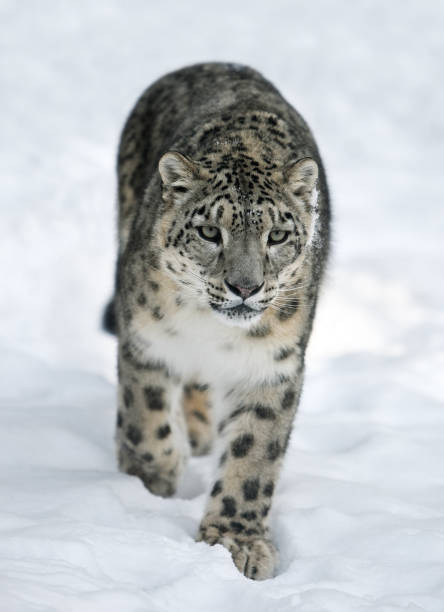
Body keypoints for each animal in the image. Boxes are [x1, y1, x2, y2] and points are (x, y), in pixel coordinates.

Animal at [105, 62, 330, 580]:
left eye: (277, 235)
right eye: (210, 231)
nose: (244, 287)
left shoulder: (272, 365)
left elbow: (253, 457)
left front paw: (235, 541)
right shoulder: (145, 337)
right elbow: (145, 416)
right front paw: (152, 481)